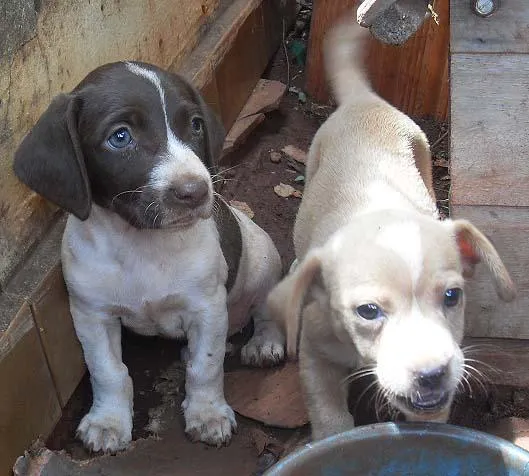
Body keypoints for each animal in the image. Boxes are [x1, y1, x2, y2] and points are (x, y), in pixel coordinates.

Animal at [12, 61, 284, 452]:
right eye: (120, 137)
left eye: (195, 125)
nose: (196, 192)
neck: (140, 244)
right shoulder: (91, 314)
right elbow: (108, 371)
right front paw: (108, 421)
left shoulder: (207, 308)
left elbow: (206, 366)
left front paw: (207, 414)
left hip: (263, 260)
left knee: (267, 309)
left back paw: (264, 343)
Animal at [266, 18, 512, 442]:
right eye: (368, 311)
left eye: (452, 297)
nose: (432, 375)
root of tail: (361, 99)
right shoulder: (315, 356)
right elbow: (330, 420)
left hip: (424, 155)